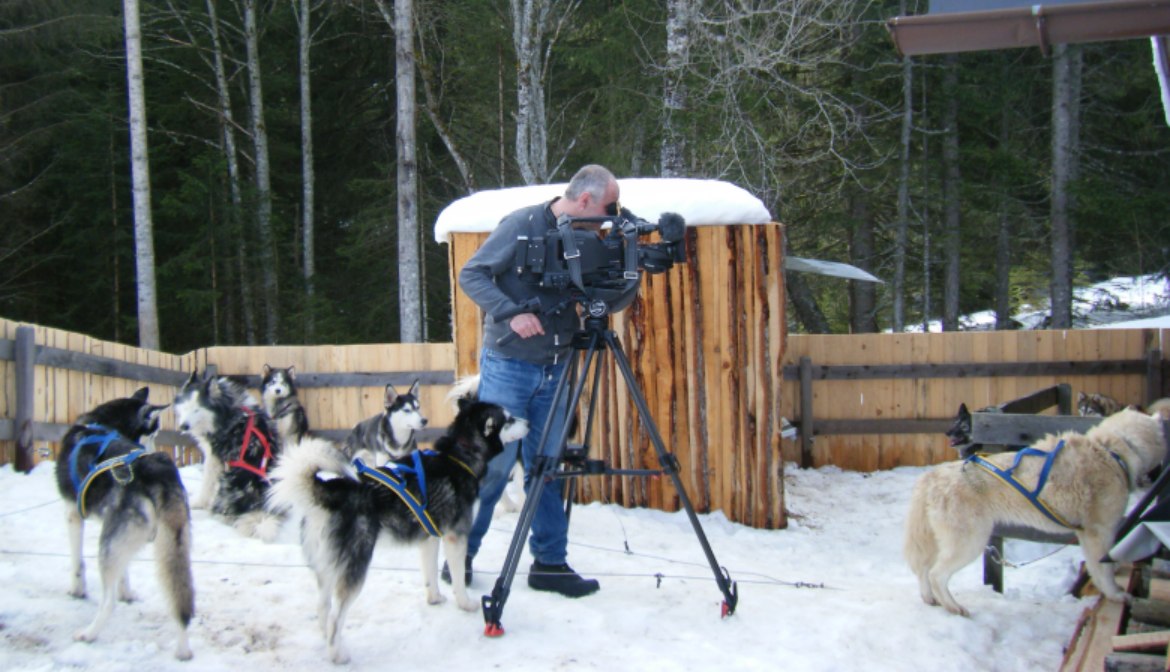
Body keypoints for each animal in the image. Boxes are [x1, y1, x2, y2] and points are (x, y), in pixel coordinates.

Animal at [52, 386, 193, 660]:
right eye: (154, 432)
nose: (154, 445)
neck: (100, 424)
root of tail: (159, 472)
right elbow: (125, 572)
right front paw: (126, 591)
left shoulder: (73, 515)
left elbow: (77, 562)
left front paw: (77, 589)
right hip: (173, 545)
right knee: (180, 599)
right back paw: (183, 649)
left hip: (108, 545)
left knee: (108, 603)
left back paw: (89, 633)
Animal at [173, 372, 283, 540]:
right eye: (186, 407)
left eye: (197, 409)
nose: (183, 426)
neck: (227, 410)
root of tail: (257, 505)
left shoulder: (214, 458)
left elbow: (207, 484)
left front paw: (198, 502)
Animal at [269, 398, 531, 664]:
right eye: (509, 419)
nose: (529, 423)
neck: (458, 455)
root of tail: (333, 490)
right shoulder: (456, 537)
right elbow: (458, 578)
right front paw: (465, 604)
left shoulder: (430, 537)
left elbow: (430, 575)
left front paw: (434, 599)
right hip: (355, 566)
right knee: (335, 617)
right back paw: (337, 654)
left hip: (327, 567)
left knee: (323, 607)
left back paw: (326, 638)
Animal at [907, 405, 1165, 618]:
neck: (1112, 449)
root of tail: (931, 476)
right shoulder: (1099, 532)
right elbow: (1104, 569)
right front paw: (1117, 595)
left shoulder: (1089, 533)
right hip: (970, 542)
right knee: (936, 574)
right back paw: (954, 607)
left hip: (941, 541)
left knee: (924, 569)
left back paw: (930, 599)